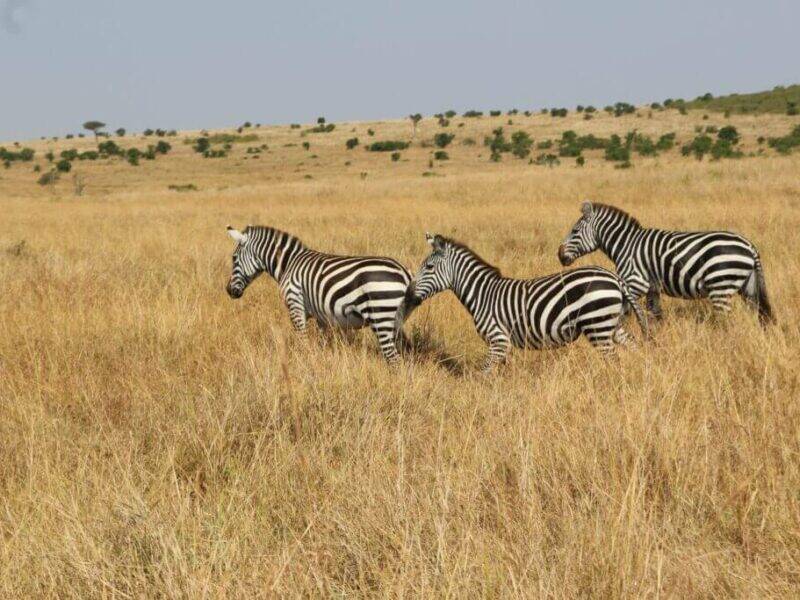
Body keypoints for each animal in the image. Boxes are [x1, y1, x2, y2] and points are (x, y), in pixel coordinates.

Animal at [225, 225, 416, 363]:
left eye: (234, 258)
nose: (228, 291)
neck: (288, 264)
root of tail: (404, 272)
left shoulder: (295, 304)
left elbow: (302, 341)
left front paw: (304, 364)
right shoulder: (322, 316)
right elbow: (323, 344)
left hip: (380, 316)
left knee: (394, 358)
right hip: (395, 320)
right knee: (406, 352)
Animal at [404, 233, 648, 371]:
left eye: (429, 267)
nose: (409, 295)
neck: (482, 294)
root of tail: (614, 277)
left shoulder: (498, 340)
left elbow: (484, 372)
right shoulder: (504, 345)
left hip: (597, 324)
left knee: (613, 359)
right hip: (611, 324)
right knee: (634, 347)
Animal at [557, 201, 774, 326]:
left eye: (575, 231)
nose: (559, 255)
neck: (626, 244)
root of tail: (750, 245)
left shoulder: (635, 283)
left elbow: (624, 314)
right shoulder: (652, 288)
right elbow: (655, 316)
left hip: (720, 285)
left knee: (725, 321)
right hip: (748, 286)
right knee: (760, 314)